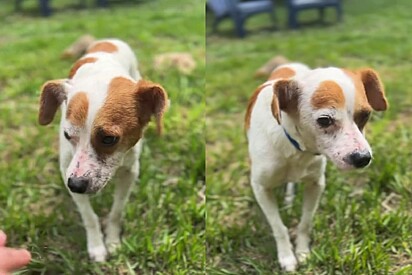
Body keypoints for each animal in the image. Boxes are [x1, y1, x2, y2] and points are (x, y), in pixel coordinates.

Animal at [38, 39, 167, 264]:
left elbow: (117, 211)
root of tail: (107, 40)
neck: (102, 73)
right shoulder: (67, 171)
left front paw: (113, 240)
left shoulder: (129, 172)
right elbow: (89, 217)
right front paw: (96, 245)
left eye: (109, 139)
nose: (75, 185)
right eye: (67, 134)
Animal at [246, 62, 388, 272]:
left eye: (365, 115)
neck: (296, 148)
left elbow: (306, 222)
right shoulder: (261, 188)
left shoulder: (316, 184)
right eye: (324, 120)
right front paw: (286, 256)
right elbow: (278, 227)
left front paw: (302, 251)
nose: (363, 158)